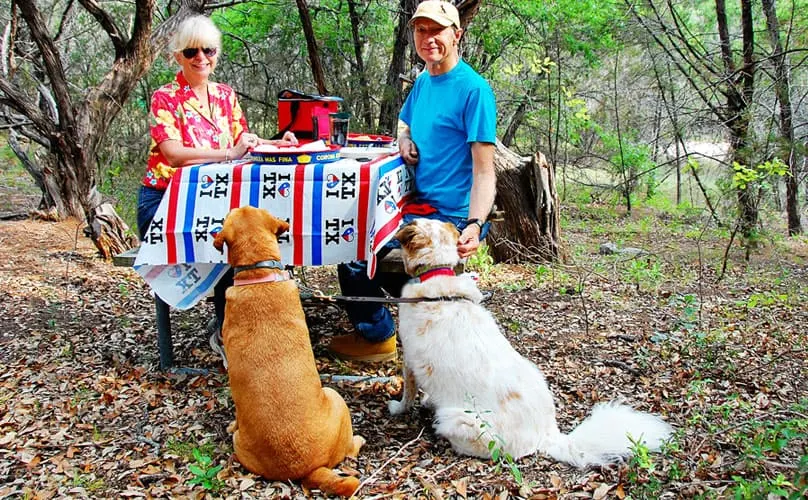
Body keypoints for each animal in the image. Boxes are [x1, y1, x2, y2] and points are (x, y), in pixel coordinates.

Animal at [388, 220, 672, 468]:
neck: (435, 273)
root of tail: (548, 434)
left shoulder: (409, 361)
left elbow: (408, 394)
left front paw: (398, 408)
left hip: (456, 419)